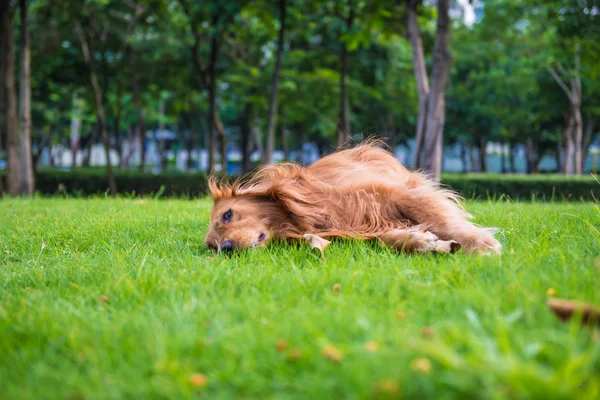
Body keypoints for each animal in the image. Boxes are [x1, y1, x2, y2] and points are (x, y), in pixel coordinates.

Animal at [206, 144, 502, 255]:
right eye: (212, 246)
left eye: (228, 214)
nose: (226, 248)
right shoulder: (358, 228)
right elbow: (385, 238)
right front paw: (422, 242)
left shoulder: (400, 192)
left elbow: (440, 218)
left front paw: (477, 241)